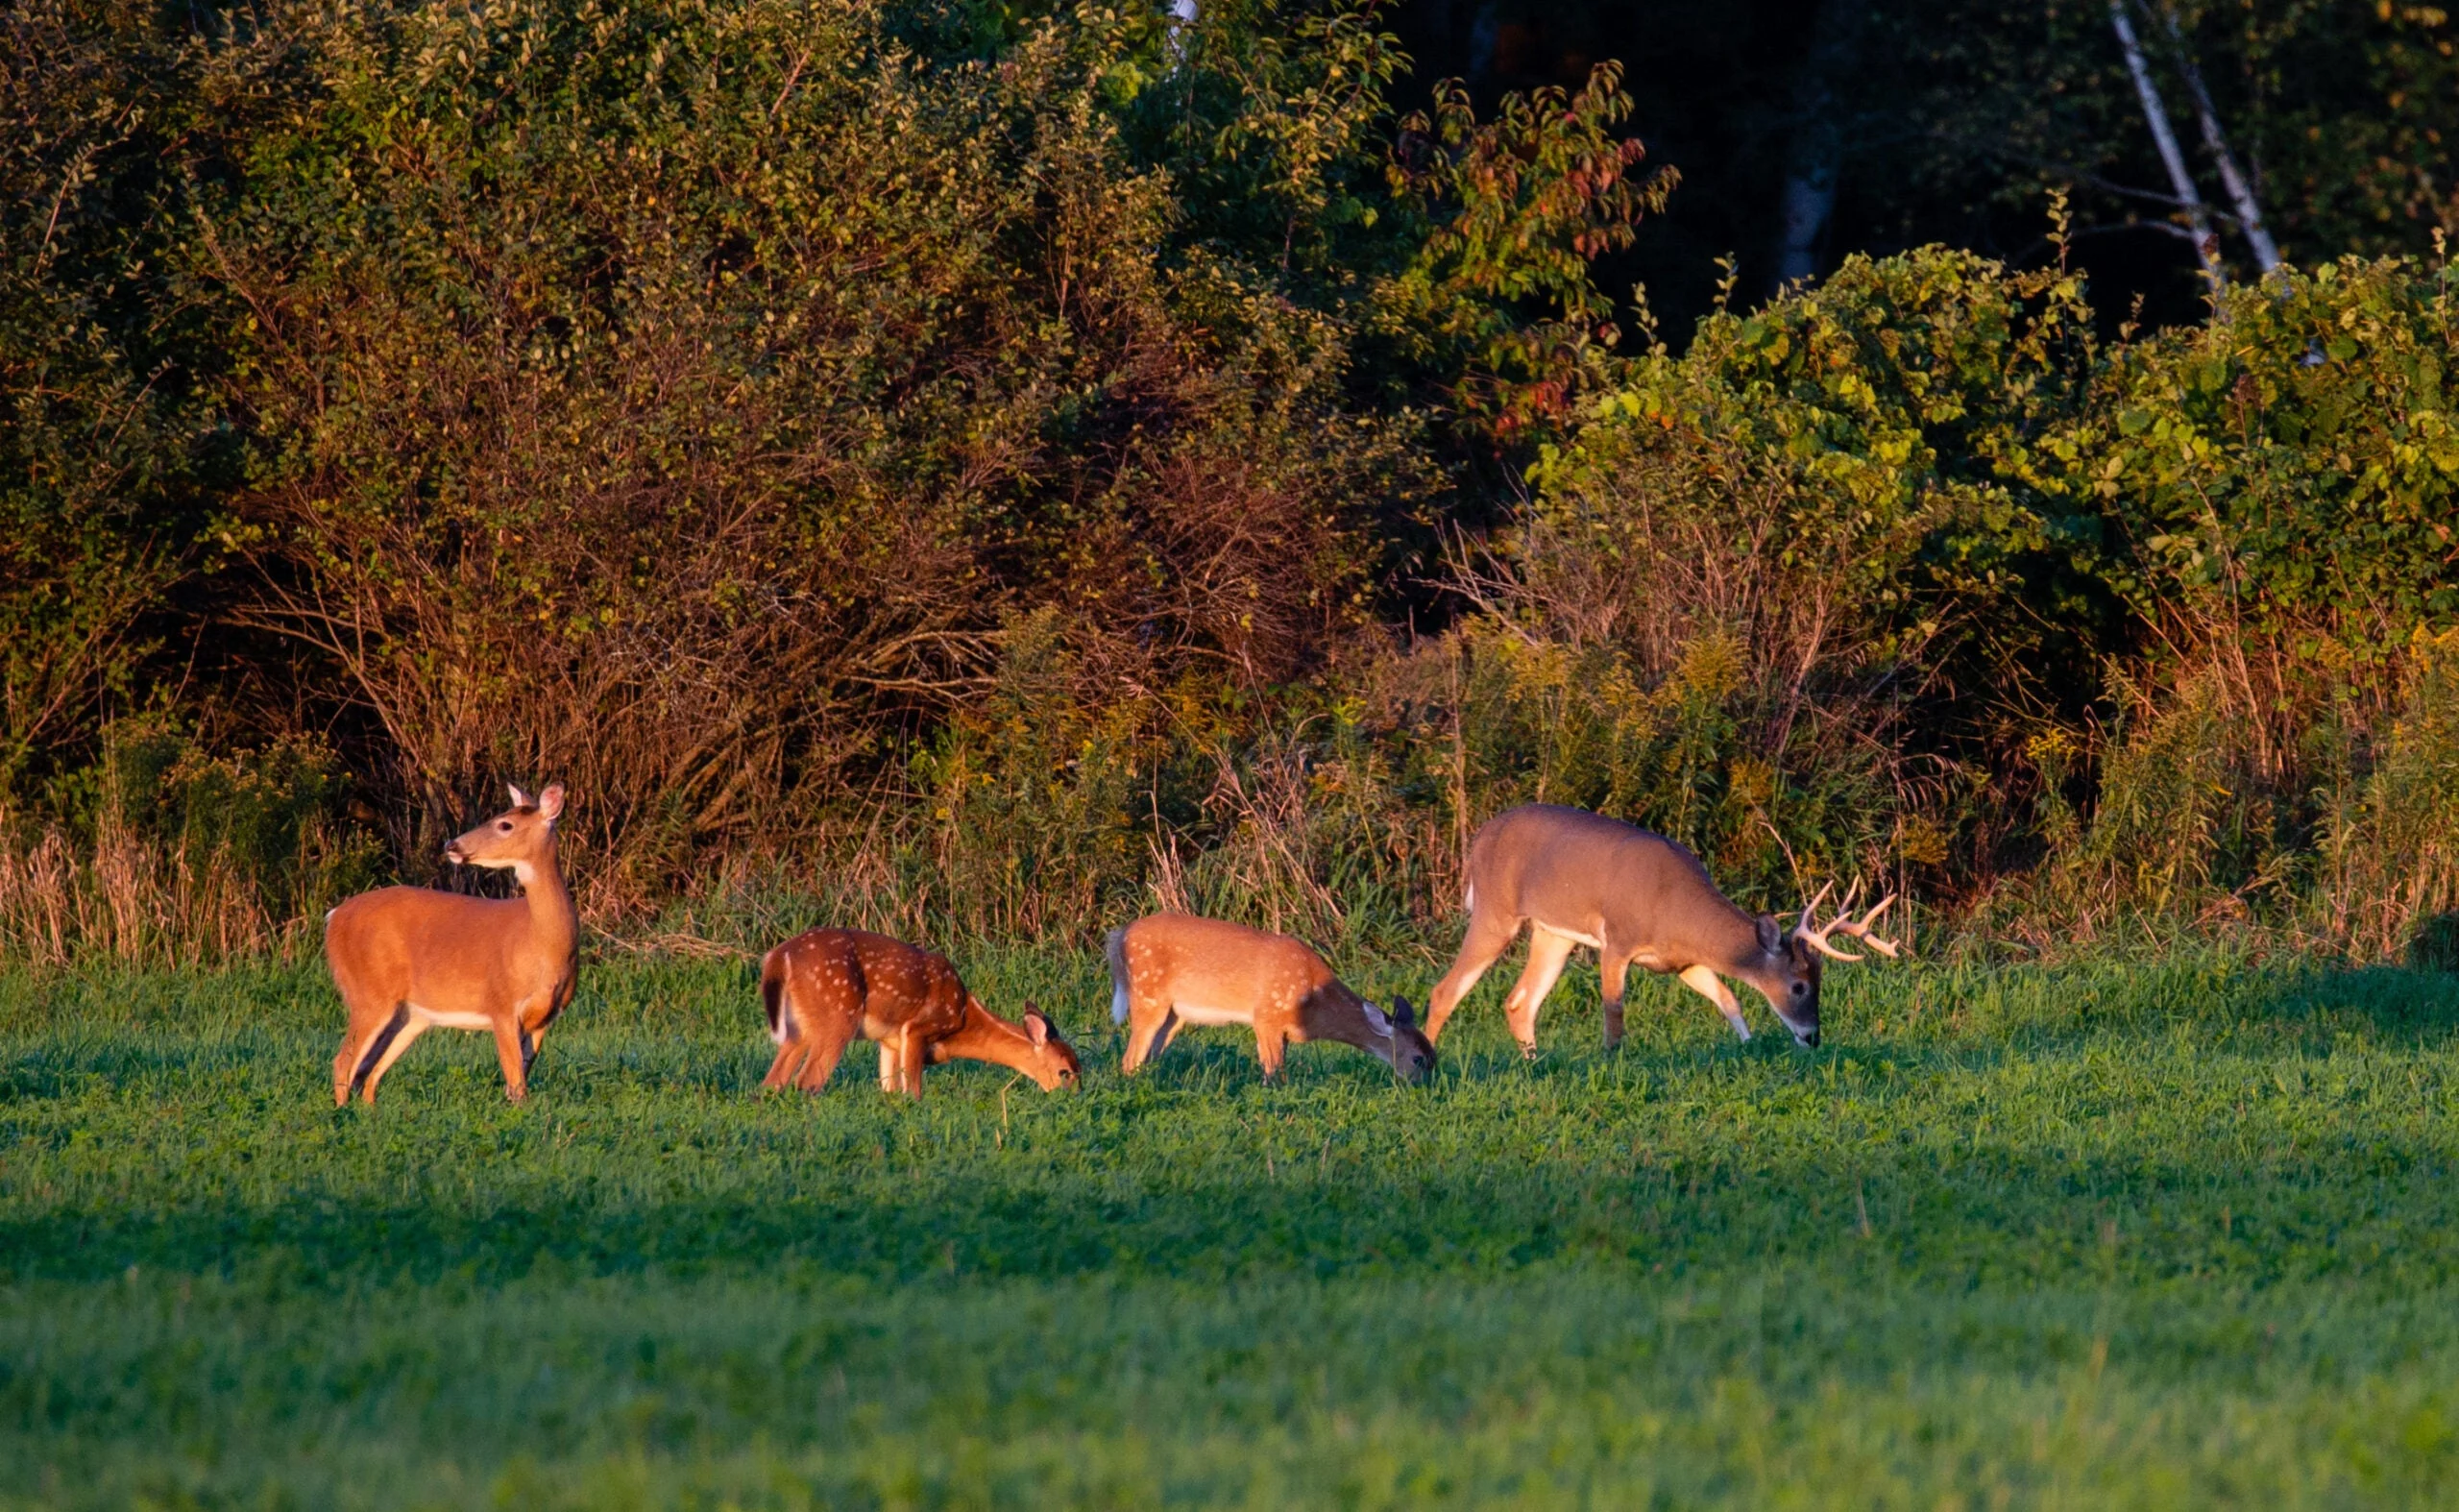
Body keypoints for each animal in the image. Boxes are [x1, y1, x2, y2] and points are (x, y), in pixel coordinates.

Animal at [324, 786, 577, 1106]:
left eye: (505, 825)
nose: (451, 844)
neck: (545, 945)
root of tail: (333, 918)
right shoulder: (501, 1003)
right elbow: (516, 1082)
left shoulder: (546, 1018)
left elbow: (522, 1077)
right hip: (367, 992)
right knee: (344, 1062)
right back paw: (342, 1111)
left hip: (410, 1015)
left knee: (368, 1073)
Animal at [757, 924, 1077, 1101]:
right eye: (1066, 1073)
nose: (1074, 1098)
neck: (962, 1019)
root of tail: (778, 957)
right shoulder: (917, 1029)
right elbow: (913, 1093)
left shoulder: (889, 1041)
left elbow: (889, 1090)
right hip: (838, 1016)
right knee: (806, 1082)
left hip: (799, 1027)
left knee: (772, 1082)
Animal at [1107, 915, 1436, 1082]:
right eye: (1418, 1059)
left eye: (1434, 1056)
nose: (1425, 1089)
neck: (1314, 999)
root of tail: (1118, 936)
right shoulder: (1266, 1016)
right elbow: (1274, 1071)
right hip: (1148, 994)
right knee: (1129, 1058)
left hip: (1176, 1014)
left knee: (1148, 1055)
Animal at [1425, 806, 1898, 1052]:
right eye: (1799, 985)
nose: (1813, 1037)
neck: (1673, 905)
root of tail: (1479, 836)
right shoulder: (1617, 941)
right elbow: (1614, 1011)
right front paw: (1610, 1059)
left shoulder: (1683, 962)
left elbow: (1728, 998)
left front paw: (1748, 1047)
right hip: (1496, 912)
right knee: (1445, 990)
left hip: (1553, 933)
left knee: (1520, 1002)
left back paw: (1534, 1063)